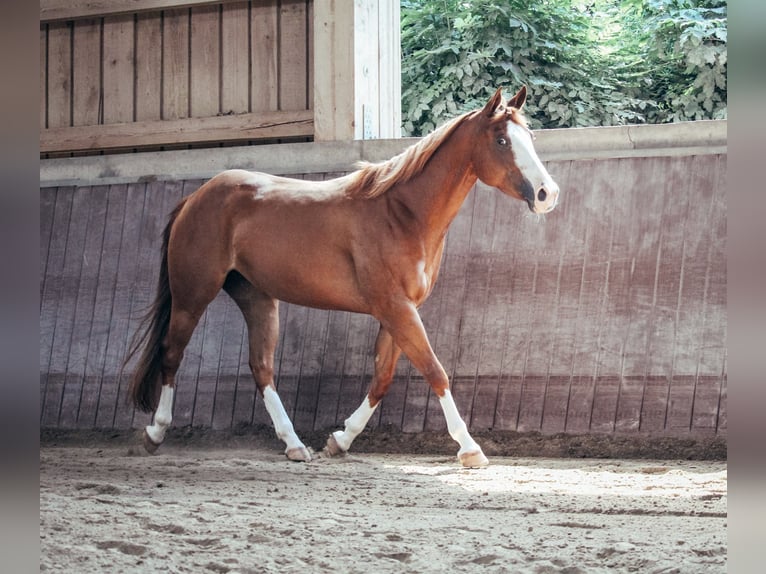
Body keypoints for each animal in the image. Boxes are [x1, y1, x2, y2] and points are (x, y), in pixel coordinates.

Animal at [125, 86, 560, 467]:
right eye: (501, 140)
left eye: (530, 136)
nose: (547, 194)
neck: (402, 214)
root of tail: (195, 198)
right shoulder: (396, 308)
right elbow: (435, 371)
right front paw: (469, 449)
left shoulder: (398, 311)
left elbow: (382, 378)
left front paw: (340, 440)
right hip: (193, 294)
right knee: (172, 353)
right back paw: (155, 434)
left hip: (257, 298)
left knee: (261, 367)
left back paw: (295, 445)